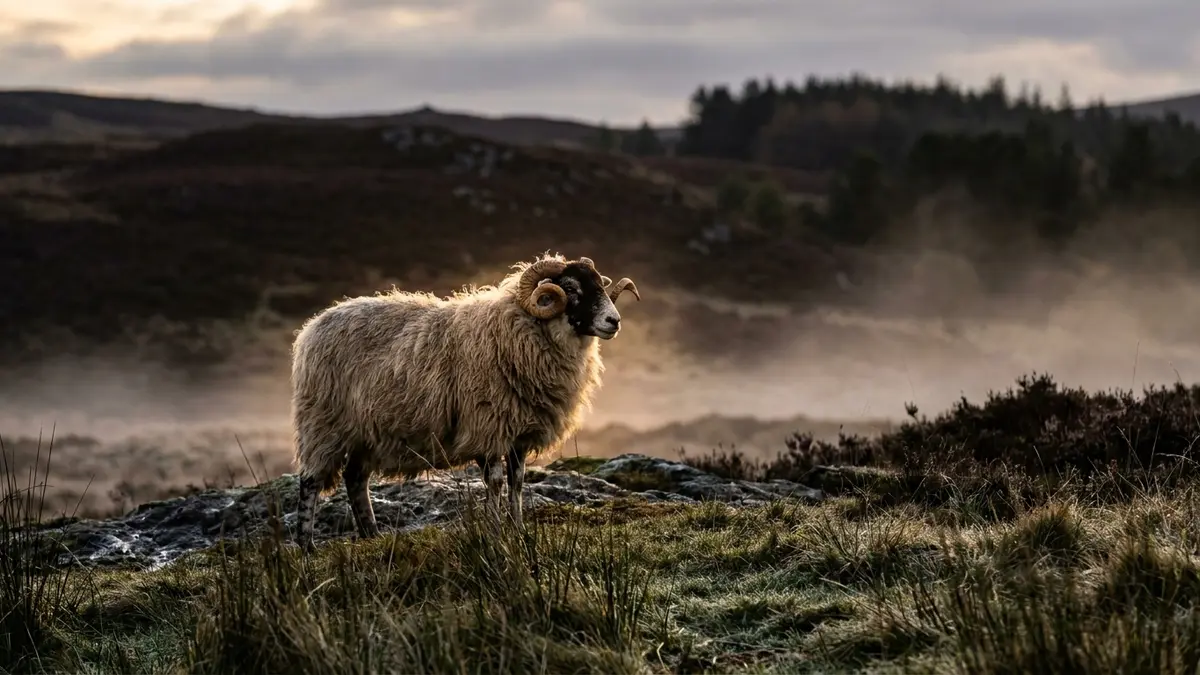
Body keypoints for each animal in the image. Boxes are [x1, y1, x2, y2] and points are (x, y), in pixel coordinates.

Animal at [289, 253, 640, 550]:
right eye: (570, 288)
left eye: (600, 284)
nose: (614, 321)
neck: (521, 330)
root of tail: (312, 327)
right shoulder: (487, 426)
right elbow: (495, 482)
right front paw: (497, 531)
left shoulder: (520, 432)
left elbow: (517, 482)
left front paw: (517, 528)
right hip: (323, 423)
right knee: (310, 481)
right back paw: (307, 546)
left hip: (367, 432)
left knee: (354, 479)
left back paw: (372, 536)